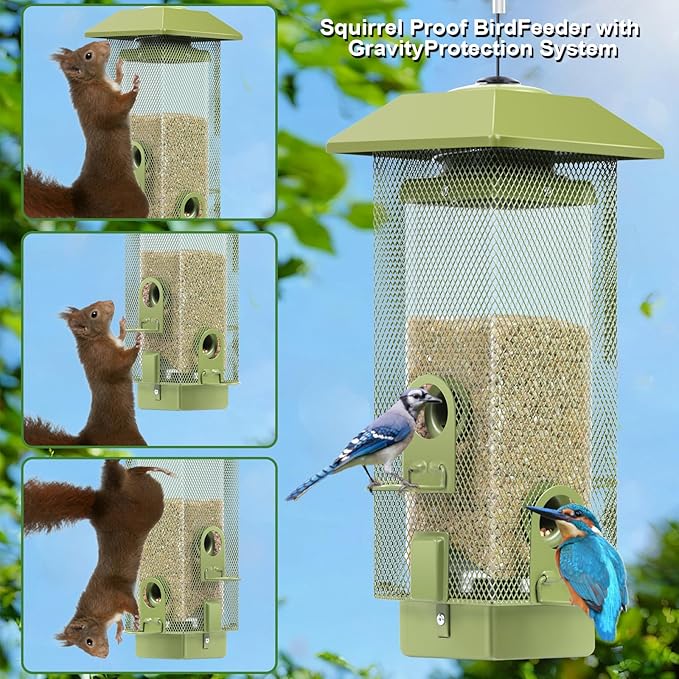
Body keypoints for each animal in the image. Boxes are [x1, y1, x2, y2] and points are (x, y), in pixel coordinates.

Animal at [24, 40, 149, 219]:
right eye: (88, 55)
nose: (107, 42)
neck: (90, 82)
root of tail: (78, 200)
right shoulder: (98, 102)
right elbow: (117, 110)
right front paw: (134, 88)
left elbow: (117, 83)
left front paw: (119, 69)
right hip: (132, 201)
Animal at [24, 300, 147, 447]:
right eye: (94, 314)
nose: (111, 302)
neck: (96, 338)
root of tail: (85, 438)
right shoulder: (103, 357)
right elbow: (121, 365)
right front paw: (137, 344)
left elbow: (120, 339)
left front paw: (122, 327)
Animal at [24, 460, 172, 658]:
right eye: (85, 648)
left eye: (89, 641)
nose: (103, 656)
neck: (99, 616)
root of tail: (102, 503)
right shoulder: (116, 611)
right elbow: (119, 621)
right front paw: (119, 632)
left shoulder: (116, 596)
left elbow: (130, 604)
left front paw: (136, 618)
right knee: (133, 473)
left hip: (146, 504)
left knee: (135, 472)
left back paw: (158, 469)